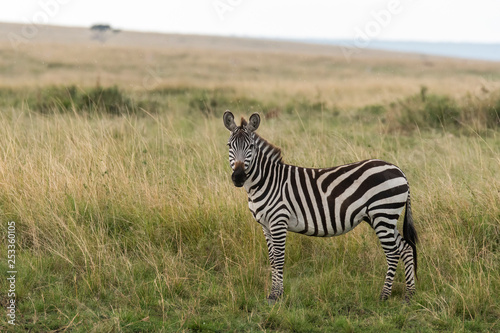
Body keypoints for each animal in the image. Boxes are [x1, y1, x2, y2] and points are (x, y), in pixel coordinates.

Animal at [223, 110, 418, 302]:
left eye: (251, 147)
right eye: (229, 146)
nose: (238, 177)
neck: (266, 181)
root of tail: (399, 171)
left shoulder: (279, 221)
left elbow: (278, 259)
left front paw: (276, 296)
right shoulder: (265, 225)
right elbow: (272, 259)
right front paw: (275, 293)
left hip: (383, 214)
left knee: (393, 253)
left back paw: (384, 295)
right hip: (382, 218)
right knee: (406, 248)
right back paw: (409, 295)